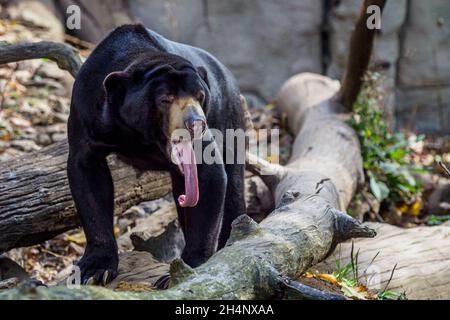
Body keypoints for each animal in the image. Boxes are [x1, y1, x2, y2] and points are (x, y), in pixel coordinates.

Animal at [67, 25, 246, 284]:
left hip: (229, 117)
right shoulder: (87, 109)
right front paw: (94, 270)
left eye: (200, 96)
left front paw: (184, 270)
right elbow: (87, 174)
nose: (196, 123)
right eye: (165, 99)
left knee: (233, 187)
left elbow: (208, 173)